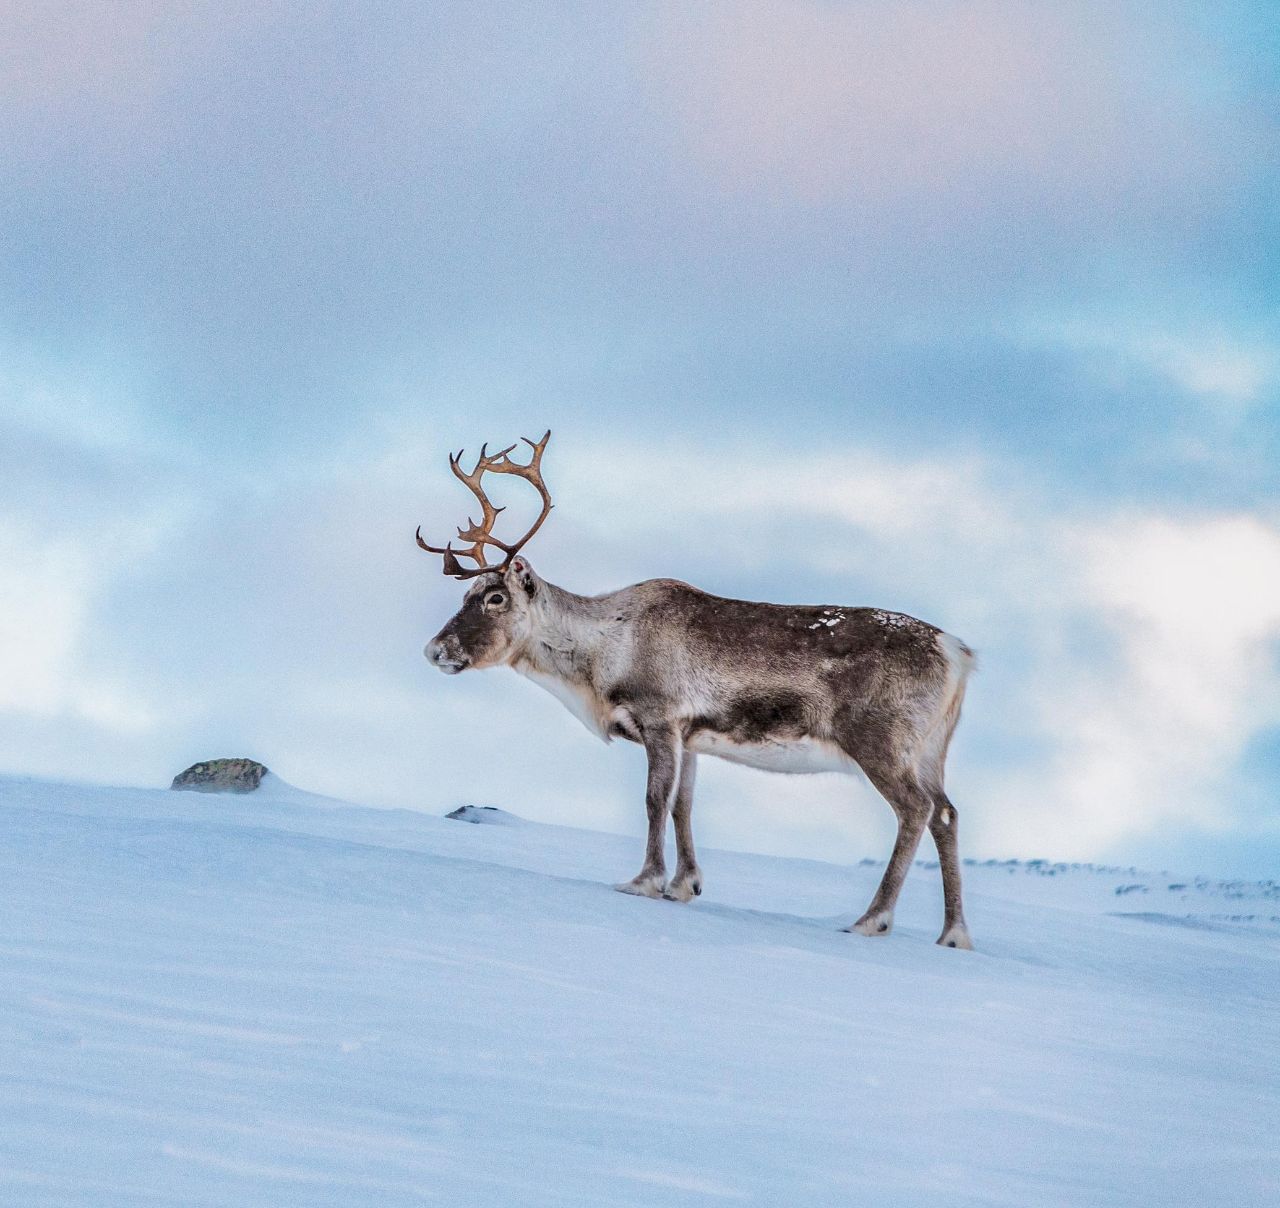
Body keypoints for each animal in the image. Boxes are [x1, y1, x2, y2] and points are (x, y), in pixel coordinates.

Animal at [419, 431, 976, 948]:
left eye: (494, 596)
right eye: (466, 593)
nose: (434, 650)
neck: (603, 652)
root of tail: (958, 653)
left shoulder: (660, 718)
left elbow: (653, 799)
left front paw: (644, 881)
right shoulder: (690, 735)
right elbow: (682, 804)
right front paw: (684, 885)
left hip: (880, 741)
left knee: (915, 810)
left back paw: (871, 919)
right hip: (931, 749)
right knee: (946, 813)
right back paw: (953, 934)